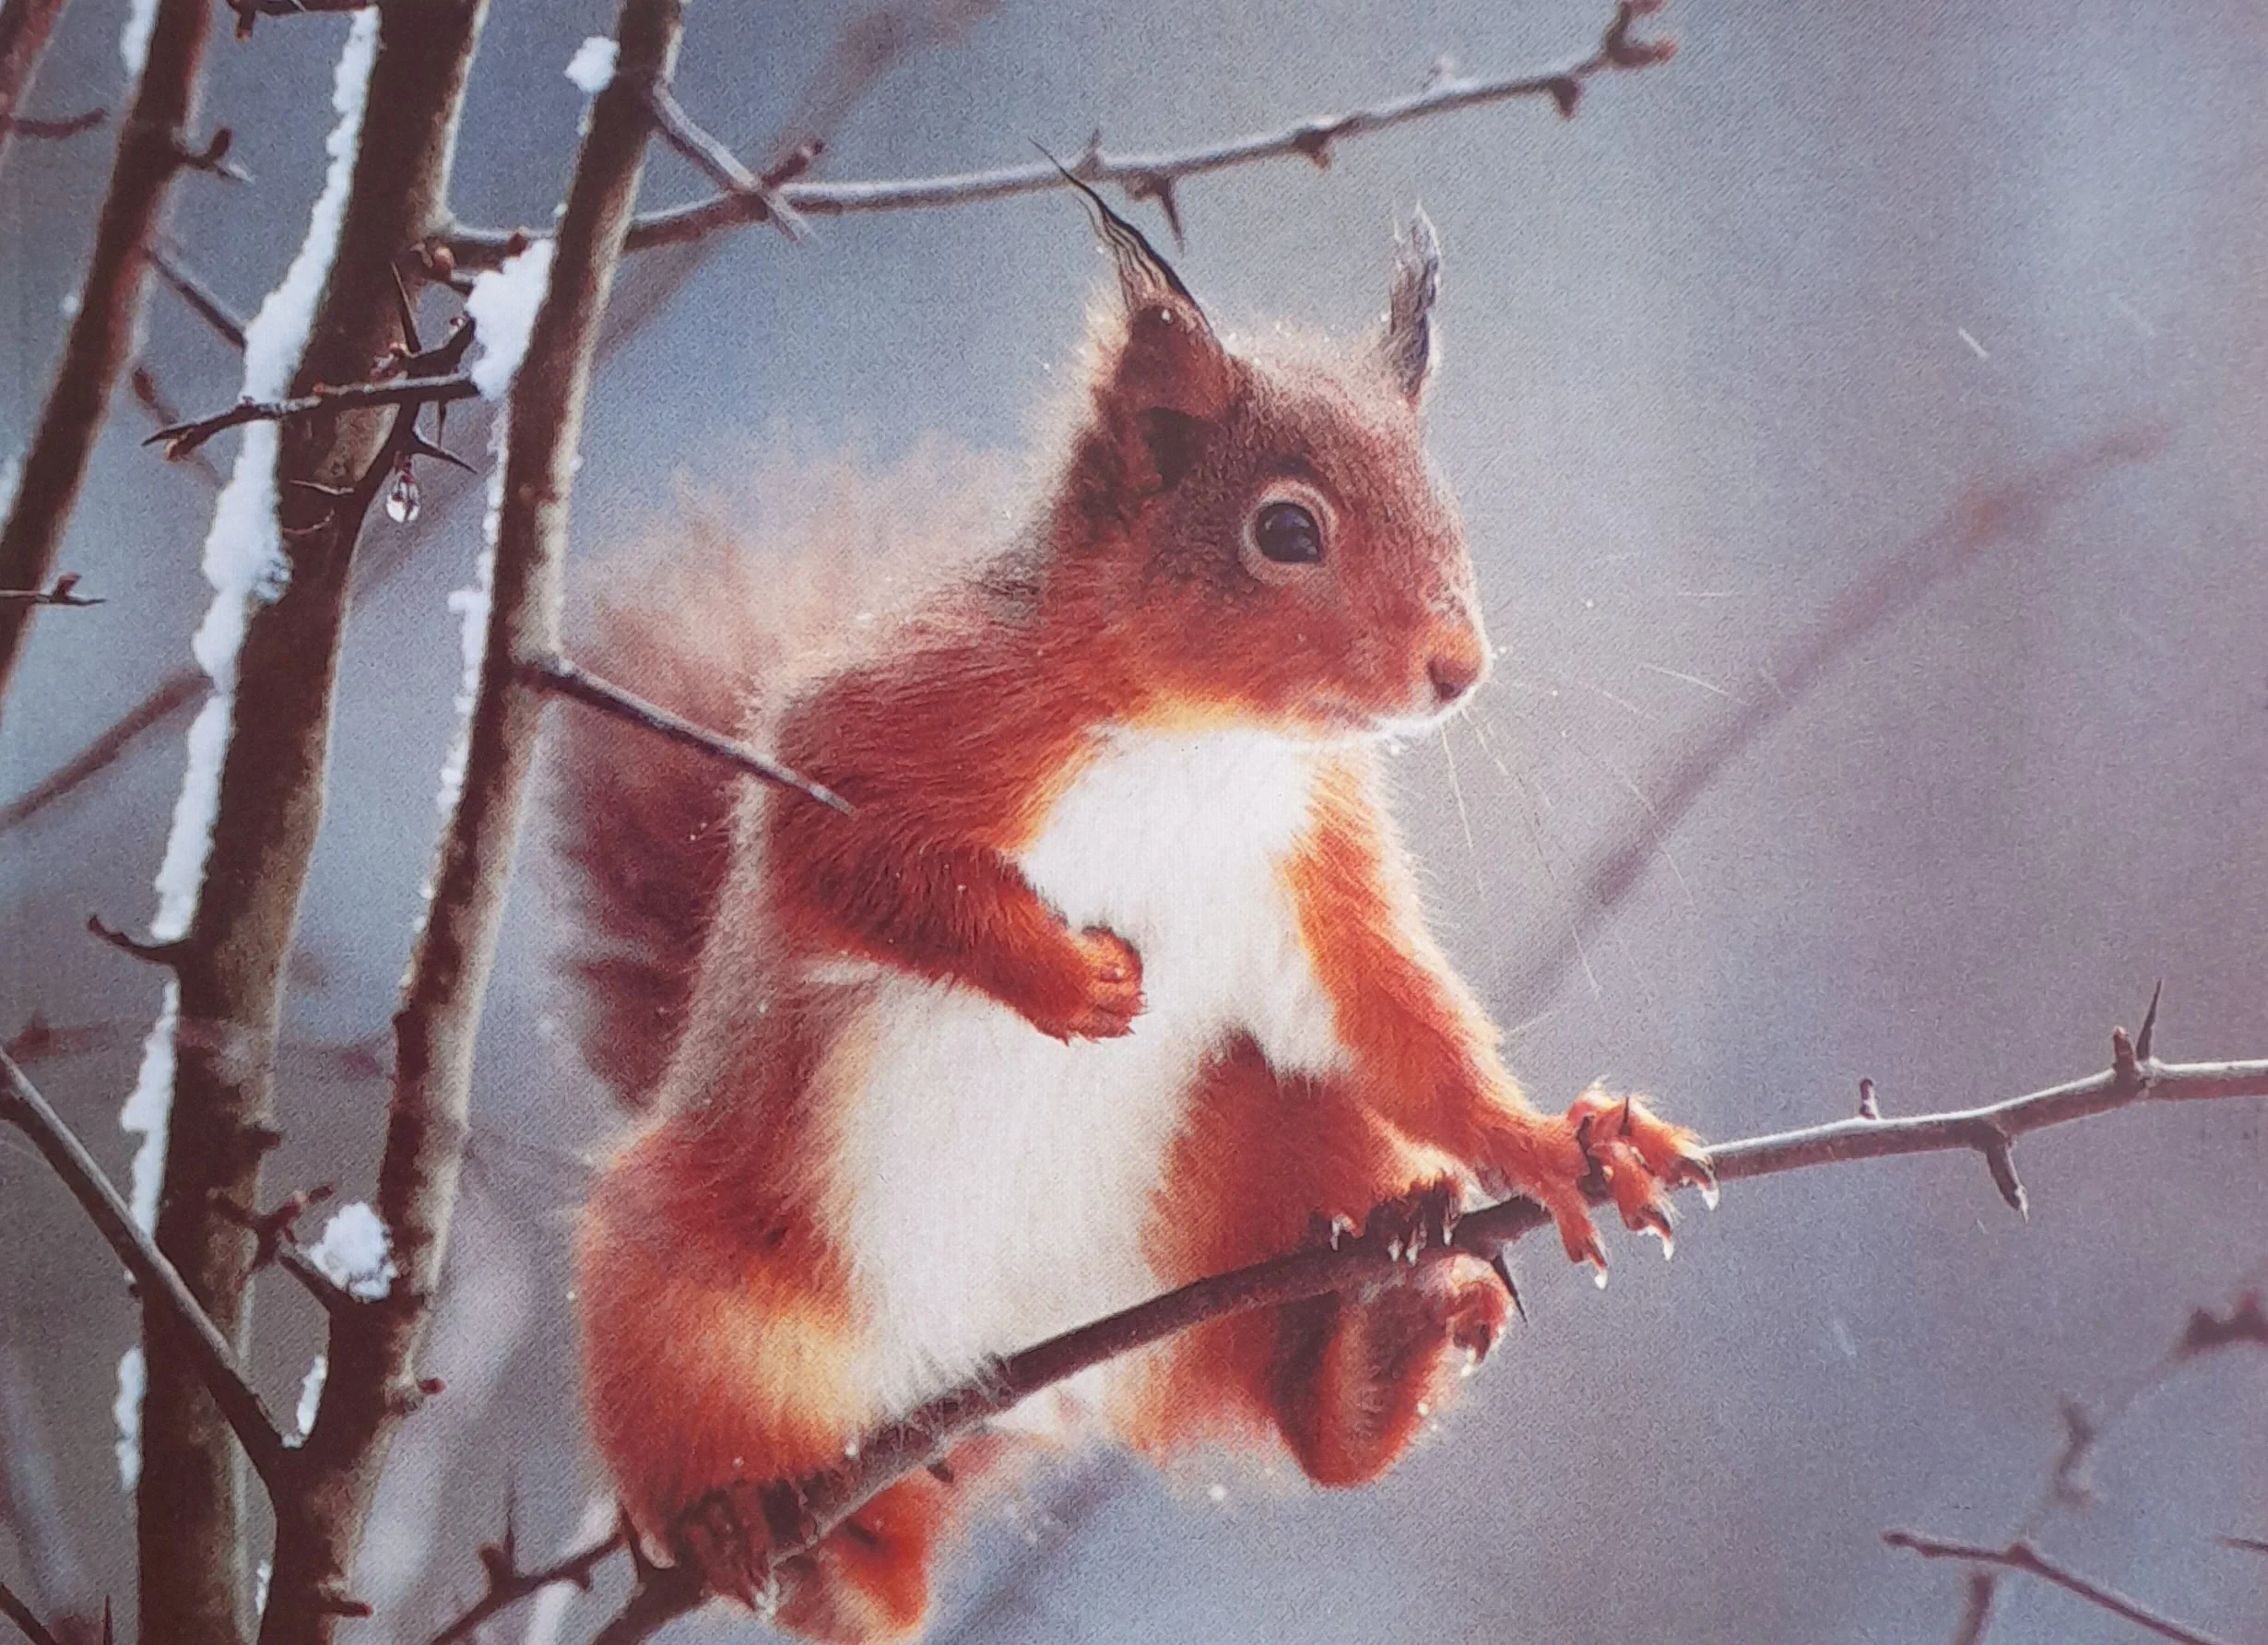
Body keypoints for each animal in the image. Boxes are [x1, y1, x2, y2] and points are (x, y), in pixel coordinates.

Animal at [555, 188, 1712, 1642]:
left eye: (1444, 508)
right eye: (1287, 531)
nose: (1458, 670)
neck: (1201, 737)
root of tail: (999, 1391)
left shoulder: (1311, 857)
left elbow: (1392, 1021)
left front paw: (1559, 1141)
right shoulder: (887, 731)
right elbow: (849, 861)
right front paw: (1065, 979)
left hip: (1254, 1166)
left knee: (1302, 1404)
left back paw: (1378, 1330)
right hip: (679, 1288)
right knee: (808, 1550)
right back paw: (753, 1534)